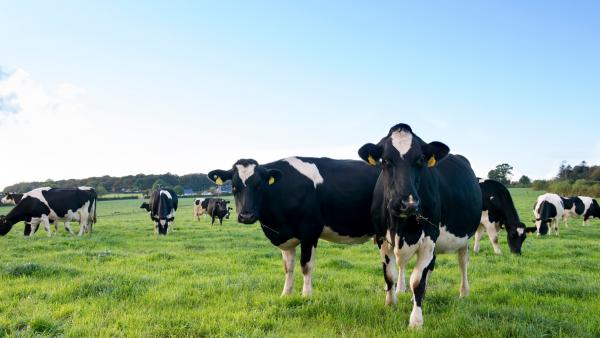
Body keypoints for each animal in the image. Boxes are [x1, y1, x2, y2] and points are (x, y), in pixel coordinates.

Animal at [209, 157, 380, 298]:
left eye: (259, 186)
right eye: (233, 187)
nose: (246, 216)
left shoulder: (310, 231)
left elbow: (306, 265)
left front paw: (306, 296)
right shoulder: (285, 236)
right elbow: (288, 267)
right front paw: (286, 294)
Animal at [356, 123, 482, 328]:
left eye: (420, 161)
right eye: (385, 161)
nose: (408, 204)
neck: (400, 226)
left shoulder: (429, 238)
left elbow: (417, 282)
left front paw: (416, 321)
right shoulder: (382, 238)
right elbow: (389, 275)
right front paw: (390, 302)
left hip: (463, 238)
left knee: (462, 262)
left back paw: (464, 292)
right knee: (430, 266)